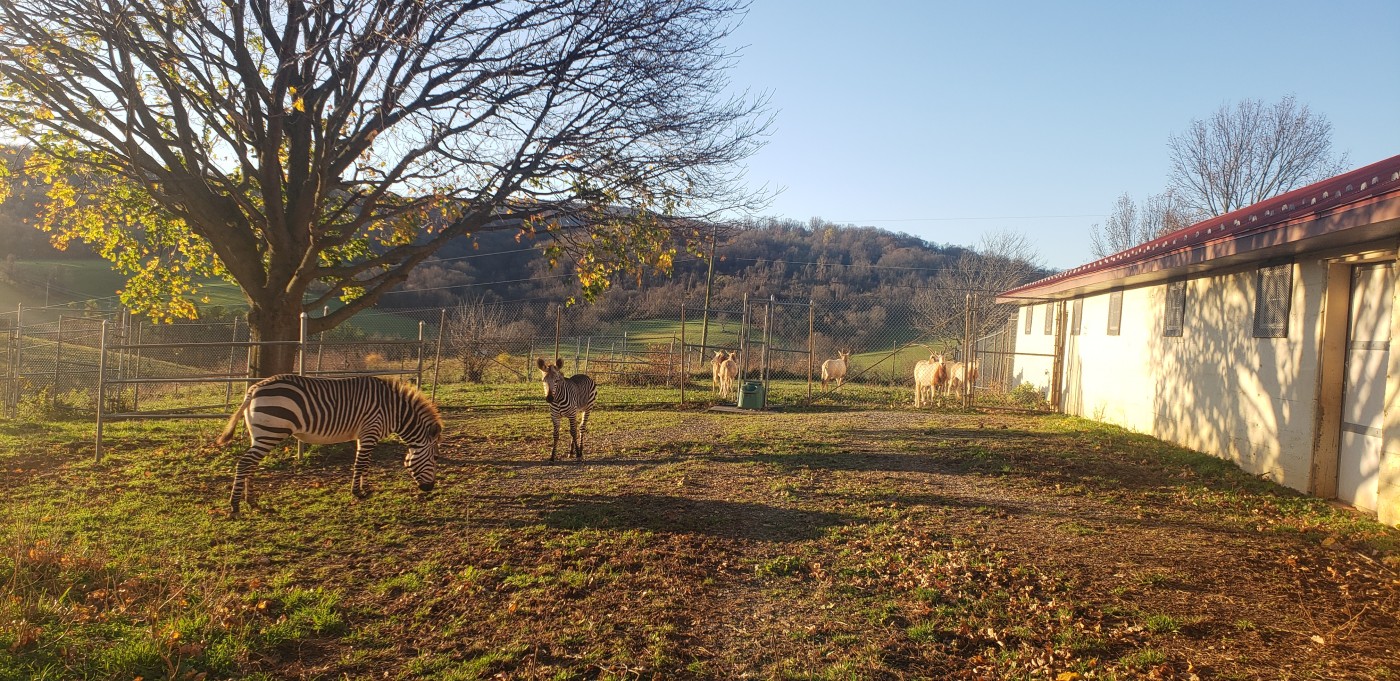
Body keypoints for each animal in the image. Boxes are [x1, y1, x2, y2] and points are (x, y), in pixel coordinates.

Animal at [215, 375, 442, 512]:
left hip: (260, 435)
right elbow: (361, 464)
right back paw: (235, 506)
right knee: (245, 464)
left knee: (250, 465)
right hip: (271, 433)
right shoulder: (370, 430)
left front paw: (364, 489)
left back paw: (251, 501)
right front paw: (357, 492)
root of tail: (253, 389)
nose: (430, 489)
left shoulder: (364, 435)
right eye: (435, 457)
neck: (395, 411)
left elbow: (364, 464)